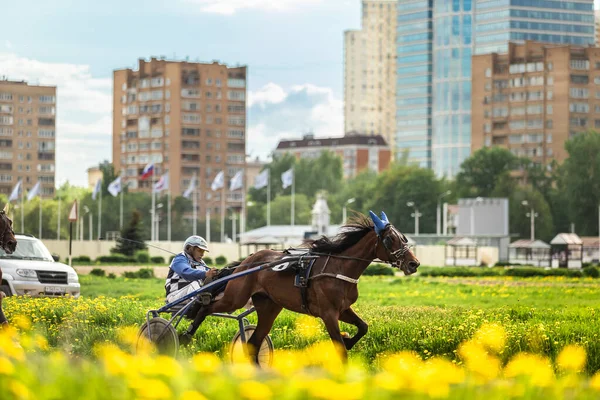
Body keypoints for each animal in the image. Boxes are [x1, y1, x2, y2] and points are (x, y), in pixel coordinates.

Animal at [185, 211, 420, 360]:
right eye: (389, 239)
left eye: (403, 237)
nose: (414, 263)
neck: (339, 267)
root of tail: (248, 260)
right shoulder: (328, 313)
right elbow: (340, 349)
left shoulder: (343, 309)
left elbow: (363, 327)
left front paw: (349, 339)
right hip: (236, 297)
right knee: (208, 307)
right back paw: (186, 333)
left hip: (269, 306)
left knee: (254, 343)